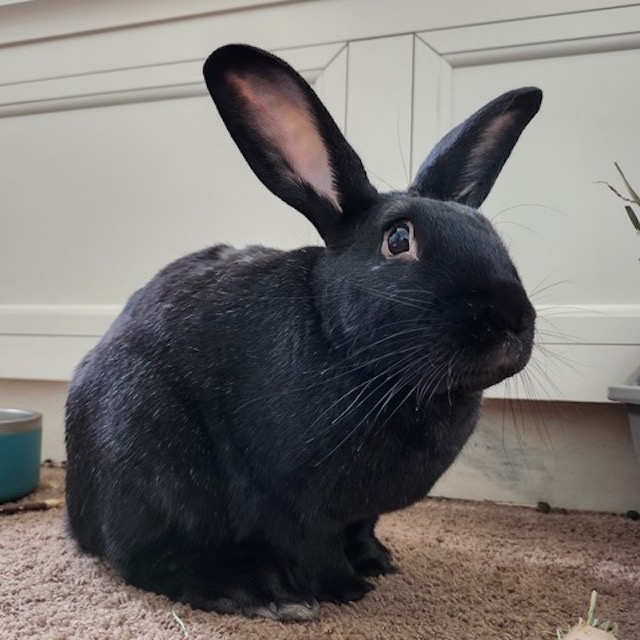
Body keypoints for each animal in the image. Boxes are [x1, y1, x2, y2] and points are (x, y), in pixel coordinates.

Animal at [65, 43, 542, 622]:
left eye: (491, 234)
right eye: (398, 239)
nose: (513, 316)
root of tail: (77, 516)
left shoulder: (359, 513)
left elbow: (361, 533)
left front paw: (378, 563)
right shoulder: (289, 504)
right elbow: (314, 550)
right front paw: (346, 589)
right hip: (152, 463)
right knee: (147, 558)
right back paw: (256, 592)